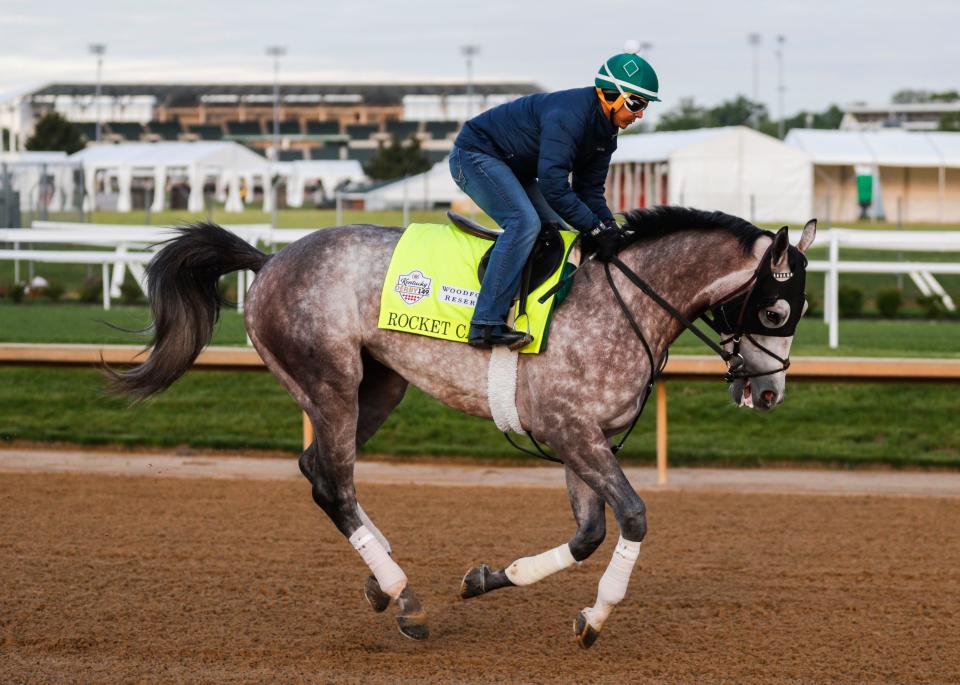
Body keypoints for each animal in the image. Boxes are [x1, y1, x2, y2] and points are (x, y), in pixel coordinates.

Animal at [110, 204, 816, 648]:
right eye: (777, 310)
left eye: (800, 310)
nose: (771, 392)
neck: (627, 304)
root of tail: (269, 259)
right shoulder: (571, 431)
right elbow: (635, 517)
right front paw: (597, 616)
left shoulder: (582, 440)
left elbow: (588, 534)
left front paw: (489, 580)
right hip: (329, 382)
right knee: (333, 481)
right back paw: (403, 597)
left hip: (380, 385)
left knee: (320, 471)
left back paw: (381, 580)